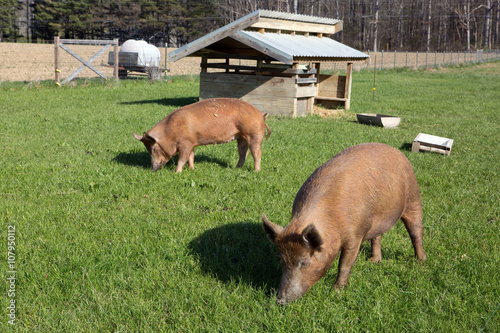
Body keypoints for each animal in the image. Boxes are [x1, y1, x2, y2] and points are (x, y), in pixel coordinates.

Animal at [134, 97, 270, 171]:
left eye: (154, 148)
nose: (153, 169)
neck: (170, 132)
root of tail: (261, 115)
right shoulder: (191, 143)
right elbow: (191, 157)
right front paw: (192, 169)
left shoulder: (185, 143)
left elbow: (182, 158)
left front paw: (177, 172)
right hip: (241, 137)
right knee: (243, 153)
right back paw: (236, 169)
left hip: (254, 134)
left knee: (257, 153)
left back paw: (256, 171)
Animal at [262, 143, 426, 304]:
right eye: (281, 260)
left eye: (304, 262)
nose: (280, 300)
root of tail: (397, 152)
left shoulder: (355, 236)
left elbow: (344, 264)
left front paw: (336, 292)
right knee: (377, 236)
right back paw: (373, 261)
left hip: (413, 197)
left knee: (416, 232)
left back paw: (420, 261)